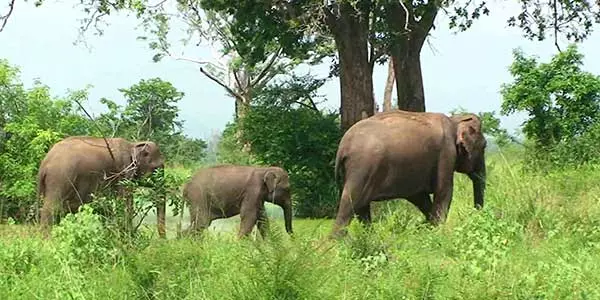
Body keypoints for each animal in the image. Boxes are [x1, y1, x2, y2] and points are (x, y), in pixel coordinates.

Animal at [37, 135, 166, 237]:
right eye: (156, 169)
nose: (162, 241)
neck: (133, 144)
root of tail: (45, 163)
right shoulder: (123, 172)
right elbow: (125, 203)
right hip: (60, 178)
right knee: (52, 207)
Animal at [328, 109, 488, 238]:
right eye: (484, 146)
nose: (475, 213)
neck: (454, 120)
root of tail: (343, 146)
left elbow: (419, 197)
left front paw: (428, 227)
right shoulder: (446, 153)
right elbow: (444, 192)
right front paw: (438, 232)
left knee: (361, 208)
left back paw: (369, 237)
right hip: (363, 168)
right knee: (350, 203)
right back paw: (337, 242)